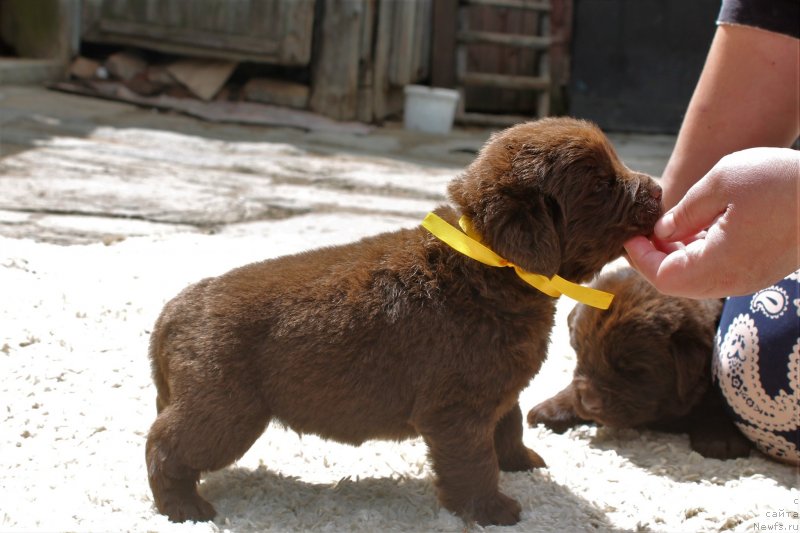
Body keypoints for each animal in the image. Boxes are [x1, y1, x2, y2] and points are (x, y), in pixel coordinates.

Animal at [145, 117, 664, 524]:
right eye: (600, 186)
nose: (659, 189)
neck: (488, 268)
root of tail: (175, 309)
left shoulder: (498, 389)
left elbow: (509, 424)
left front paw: (520, 461)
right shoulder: (458, 409)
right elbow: (474, 460)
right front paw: (491, 509)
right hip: (226, 411)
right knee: (164, 444)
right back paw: (182, 507)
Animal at [528, 266, 752, 458]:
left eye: (633, 370)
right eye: (579, 351)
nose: (589, 403)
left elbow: (716, 400)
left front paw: (720, 439)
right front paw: (551, 408)